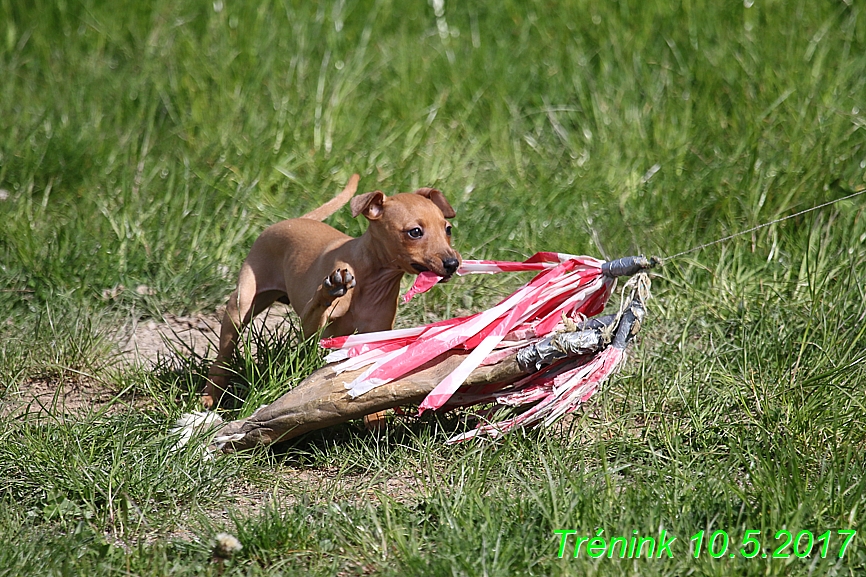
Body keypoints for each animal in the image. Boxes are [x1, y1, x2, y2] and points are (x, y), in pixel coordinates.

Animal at [202, 173, 460, 408]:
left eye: (447, 229)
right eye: (415, 232)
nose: (452, 263)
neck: (372, 279)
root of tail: (296, 220)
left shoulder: (372, 336)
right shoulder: (310, 330)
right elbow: (318, 310)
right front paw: (332, 290)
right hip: (241, 305)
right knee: (224, 352)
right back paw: (211, 394)